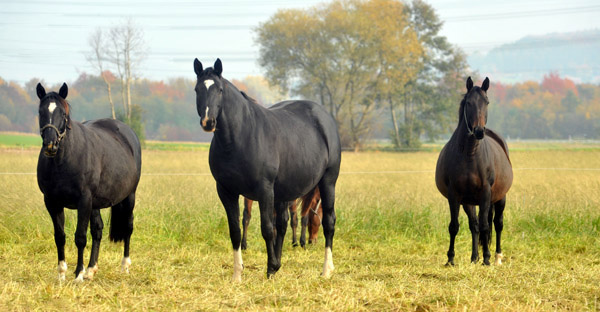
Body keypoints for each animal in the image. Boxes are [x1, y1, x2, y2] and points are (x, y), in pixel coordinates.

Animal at [35, 82, 142, 280]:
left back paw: (124, 265)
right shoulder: (52, 202)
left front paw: (78, 273)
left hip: (129, 196)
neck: (64, 160)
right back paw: (92, 269)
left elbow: (80, 237)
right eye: (41, 112)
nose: (50, 145)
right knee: (98, 230)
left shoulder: (84, 201)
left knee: (128, 226)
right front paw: (62, 273)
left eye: (63, 114)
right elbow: (60, 236)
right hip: (96, 203)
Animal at [193, 58, 340, 280]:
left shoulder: (264, 190)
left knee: (329, 222)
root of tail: (324, 117)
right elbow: (235, 230)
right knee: (283, 223)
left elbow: (267, 229)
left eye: (219, 90)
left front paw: (270, 268)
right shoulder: (226, 191)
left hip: (328, 182)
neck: (240, 138)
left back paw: (326, 270)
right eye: (197, 89)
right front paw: (238, 275)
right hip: (284, 191)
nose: (208, 122)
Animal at [434, 76, 512, 266]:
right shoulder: (455, 195)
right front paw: (450, 259)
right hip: (468, 202)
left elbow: (486, 226)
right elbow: (454, 226)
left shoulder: (485, 193)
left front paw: (487, 259)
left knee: (497, 223)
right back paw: (474, 257)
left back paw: (497, 257)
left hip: (500, 198)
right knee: (474, 225)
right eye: (469, 102)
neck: (470, 154)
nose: (478, 131)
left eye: (487, 102)